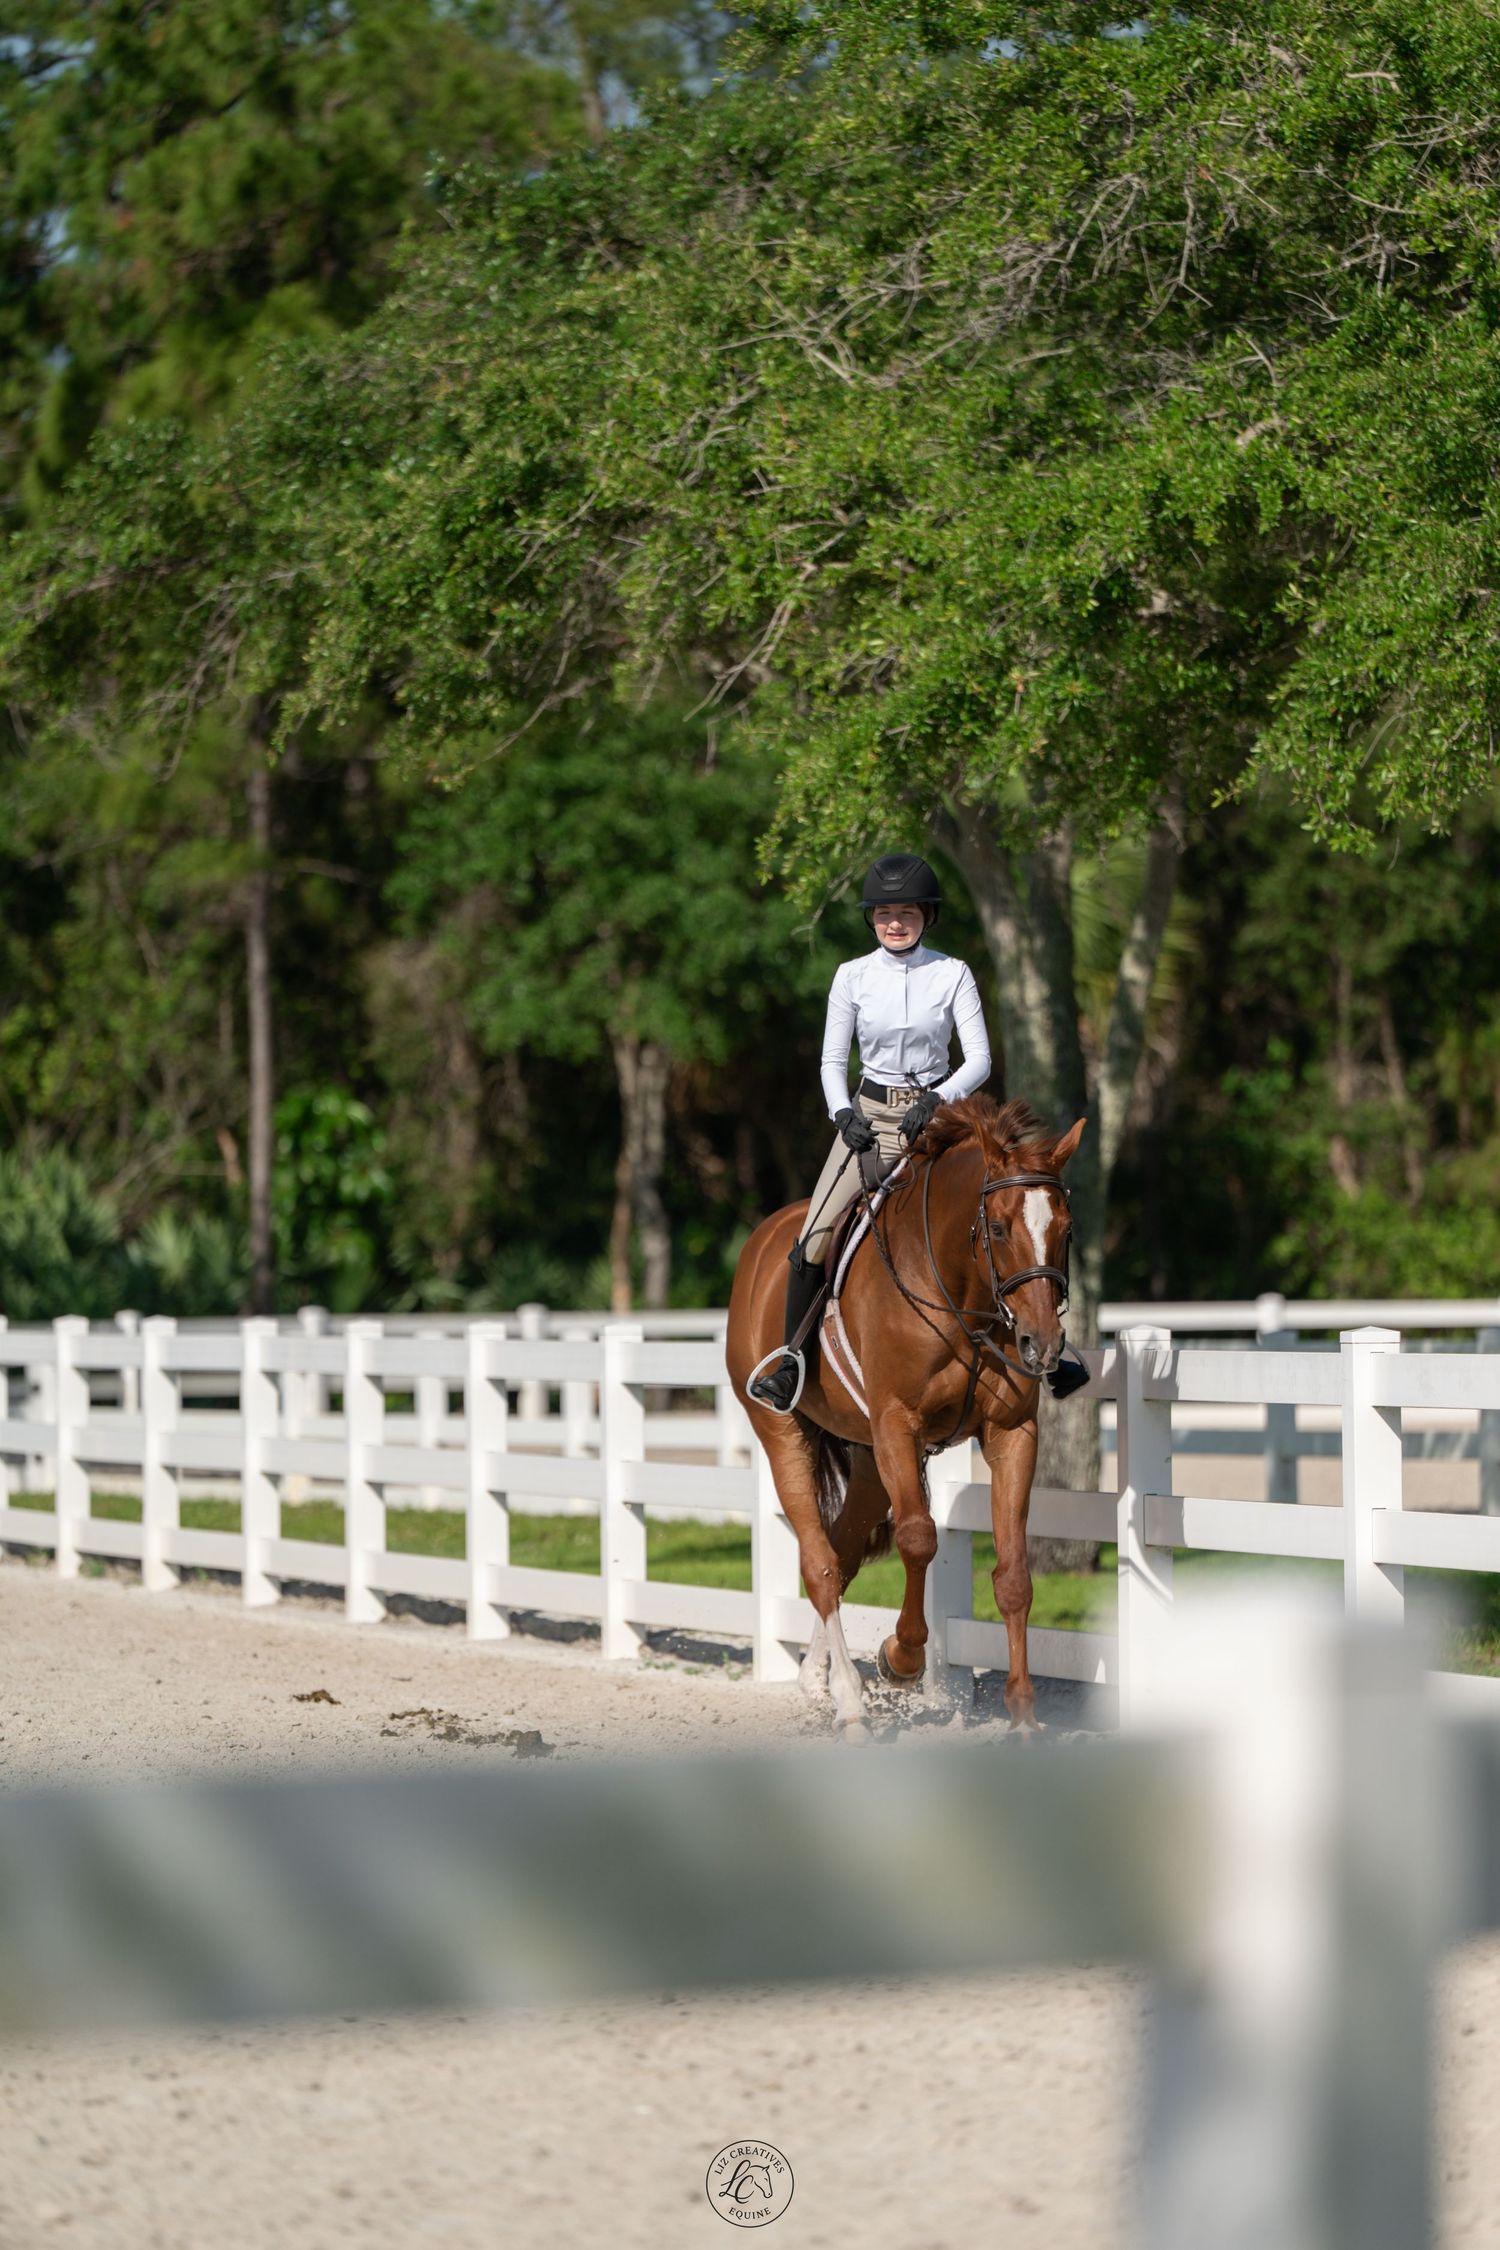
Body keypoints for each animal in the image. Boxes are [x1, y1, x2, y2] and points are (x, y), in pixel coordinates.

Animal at [726, 1094, 1085, 1739]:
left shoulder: (1011, 1433)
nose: (1041, 1346)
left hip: (869, 1462)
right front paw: (903, 1658)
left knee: (841, 1557)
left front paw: (1022, 1712)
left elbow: (1014, 1576)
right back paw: (849, 1703)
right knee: (820, 1564)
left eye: (1065, 1231)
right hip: (784, 1430)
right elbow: (918, 1540)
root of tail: (761, 1241)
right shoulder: (897, 1425)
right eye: (998, 1228)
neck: (961, 1291)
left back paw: (815, 1681)